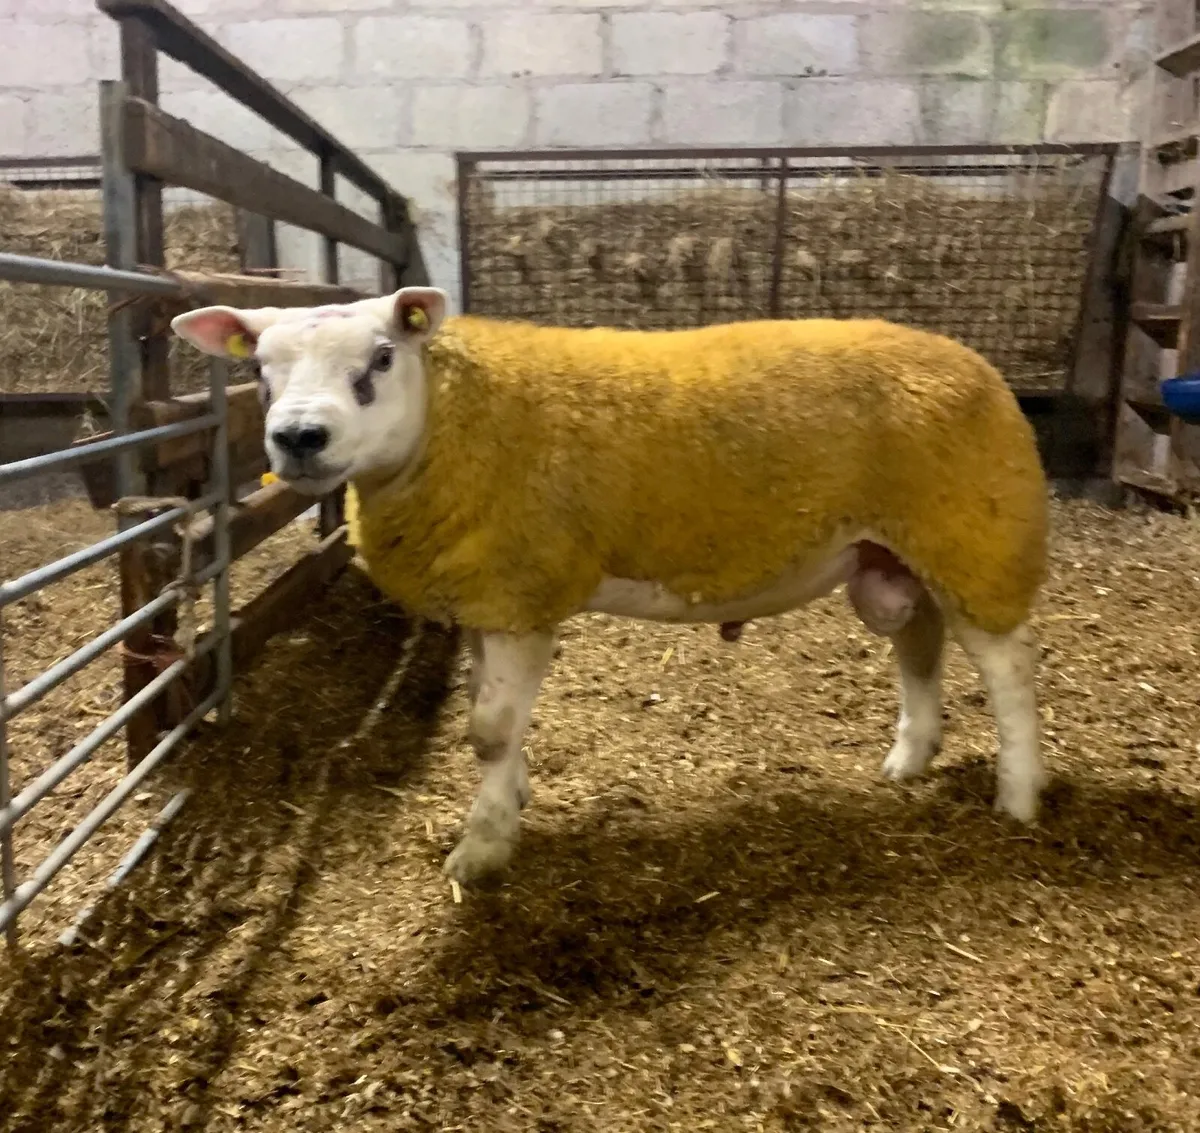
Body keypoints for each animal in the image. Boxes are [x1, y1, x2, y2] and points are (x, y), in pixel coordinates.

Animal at [171, 287, 1050, 887]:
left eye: (382, 358)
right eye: (257, 368)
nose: (298, 438)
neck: (449, 420)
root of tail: (973, 361)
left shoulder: (523, 590)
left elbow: (487, 728)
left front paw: (483, 846)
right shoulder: (493, 592)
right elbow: (489, 713)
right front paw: (513, 794)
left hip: (978, 535)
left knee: (1008, 670)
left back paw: (1020, 797)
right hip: (897, 552)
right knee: (919, 639)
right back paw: (911, 756)